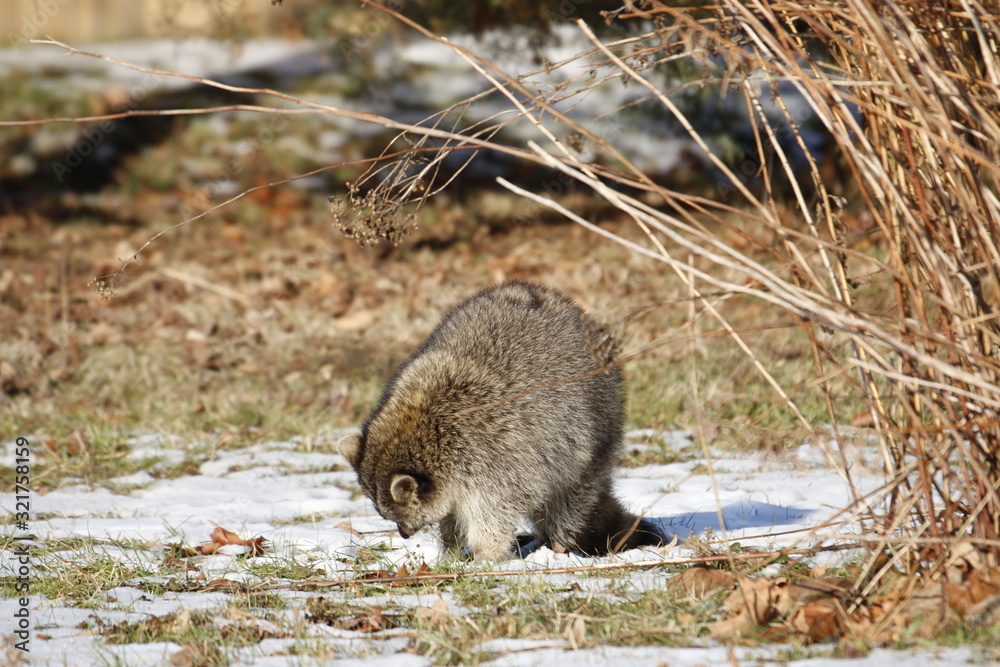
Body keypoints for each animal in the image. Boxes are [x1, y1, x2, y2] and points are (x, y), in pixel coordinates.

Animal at [338, 281, 664, 560]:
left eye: (399, 514)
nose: (405, 534)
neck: (417, 424)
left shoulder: (494, 460)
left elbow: (494, 512)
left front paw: (486, 553)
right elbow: (453, 514)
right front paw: (451, 549)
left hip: (596, 423)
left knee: (571, 500)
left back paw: (558, 543)